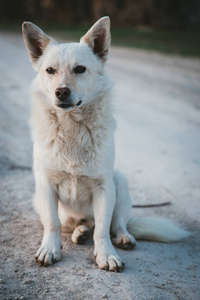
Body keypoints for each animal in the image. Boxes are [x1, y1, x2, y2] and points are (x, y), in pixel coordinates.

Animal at [22, 17, 189, 274]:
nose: (61, 92)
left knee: (117, 224)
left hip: (119, 182)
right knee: (72, 225)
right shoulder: (46, 185)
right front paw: (50, 249)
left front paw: (106, 255)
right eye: (50, 70)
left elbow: (102, 229)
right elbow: (52, 223)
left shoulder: (103, 187)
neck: (72, 128)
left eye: (80, 69)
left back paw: (123, 237)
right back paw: (80, 232)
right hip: (40, 200)